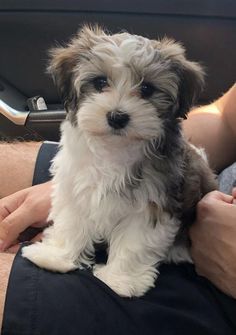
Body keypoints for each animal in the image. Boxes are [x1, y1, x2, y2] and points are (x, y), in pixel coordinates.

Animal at [22, 26, 218, 300]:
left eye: (146, 89)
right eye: (100, 82)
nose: (117, 116)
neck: (115, 150)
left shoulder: (154, 201)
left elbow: (135, 242)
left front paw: (121, 281)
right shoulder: (76, 185)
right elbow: (71, 221)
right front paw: (56, 256)